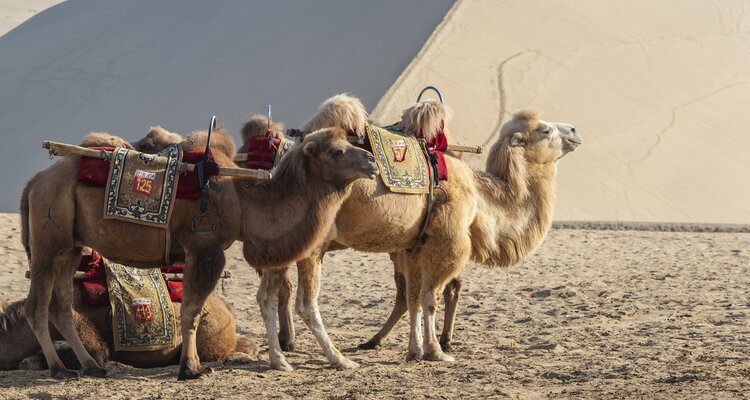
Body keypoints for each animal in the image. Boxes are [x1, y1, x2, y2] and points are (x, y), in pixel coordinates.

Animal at [251, 95, 582, 371]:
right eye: (545, 131)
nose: (575, 130)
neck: (479, 194)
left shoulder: (414, 246)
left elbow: (412, 299)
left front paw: (415, 351)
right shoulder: (449, 243)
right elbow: (429, 298)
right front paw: (436, 351)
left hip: (281, 243)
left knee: (267, 296)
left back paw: (279, 360)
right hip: (312, 246)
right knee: (305, 304)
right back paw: (338, 359)